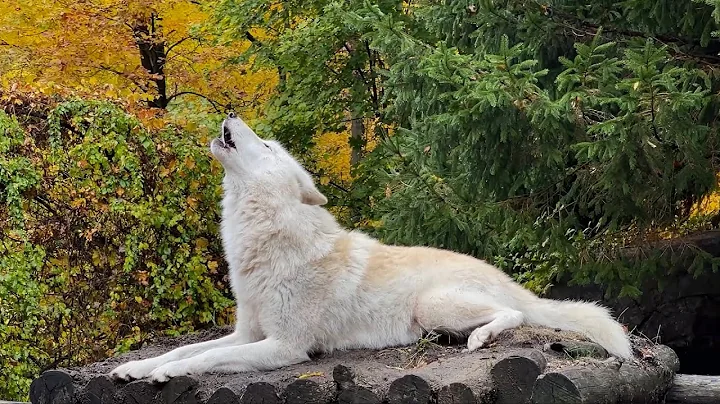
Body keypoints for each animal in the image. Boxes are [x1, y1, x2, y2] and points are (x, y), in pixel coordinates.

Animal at [110, 113, 632, 383]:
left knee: (517, 315)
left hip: (433, 305)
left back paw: (481, 339)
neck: (264, 239)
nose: (233, 114)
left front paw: (167, 375)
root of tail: (502, 275)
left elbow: (202, 358)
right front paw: (136, 367)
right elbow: (186, 348)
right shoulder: (246, 333)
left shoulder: (285, 347)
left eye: (270, 146)